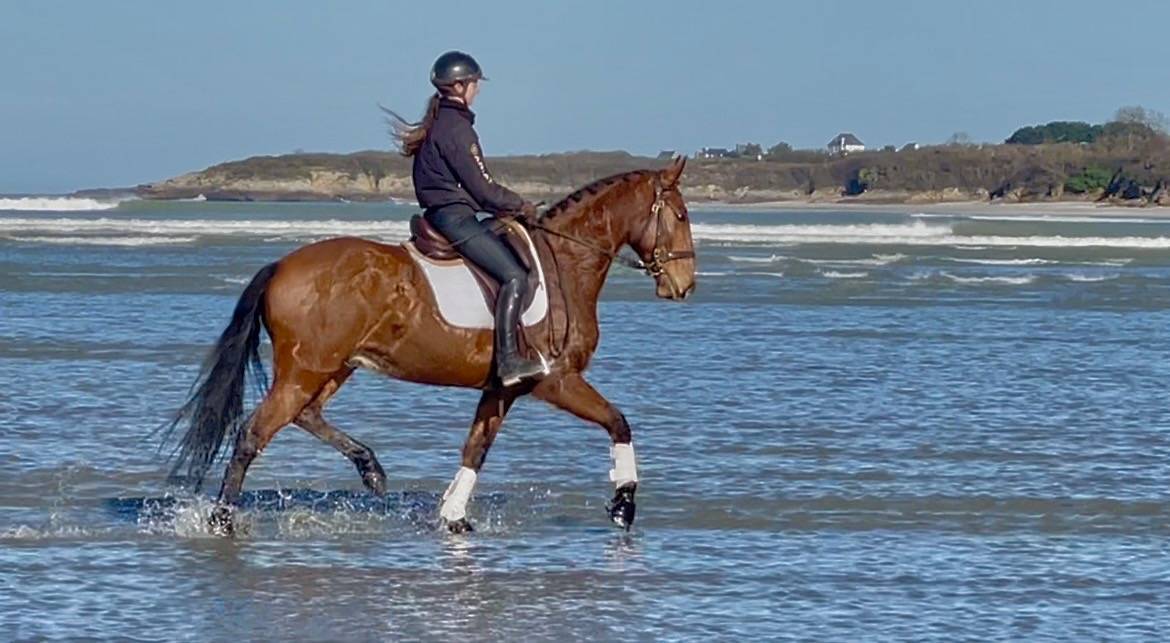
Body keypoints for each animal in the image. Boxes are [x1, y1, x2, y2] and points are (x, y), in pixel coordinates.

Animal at [162, 156, 695, 534]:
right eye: (681, 214)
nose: (684, 285)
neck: (566, 260)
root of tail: (281, 266)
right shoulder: (555, 380)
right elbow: (618, 422)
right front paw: (624, 503)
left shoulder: (502, 389)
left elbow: (475, 448)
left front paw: (453, 516)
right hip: (307, 368)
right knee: (254, 432)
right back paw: (222, 520)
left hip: (332, 366)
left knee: (305, 415)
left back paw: (371, 469)